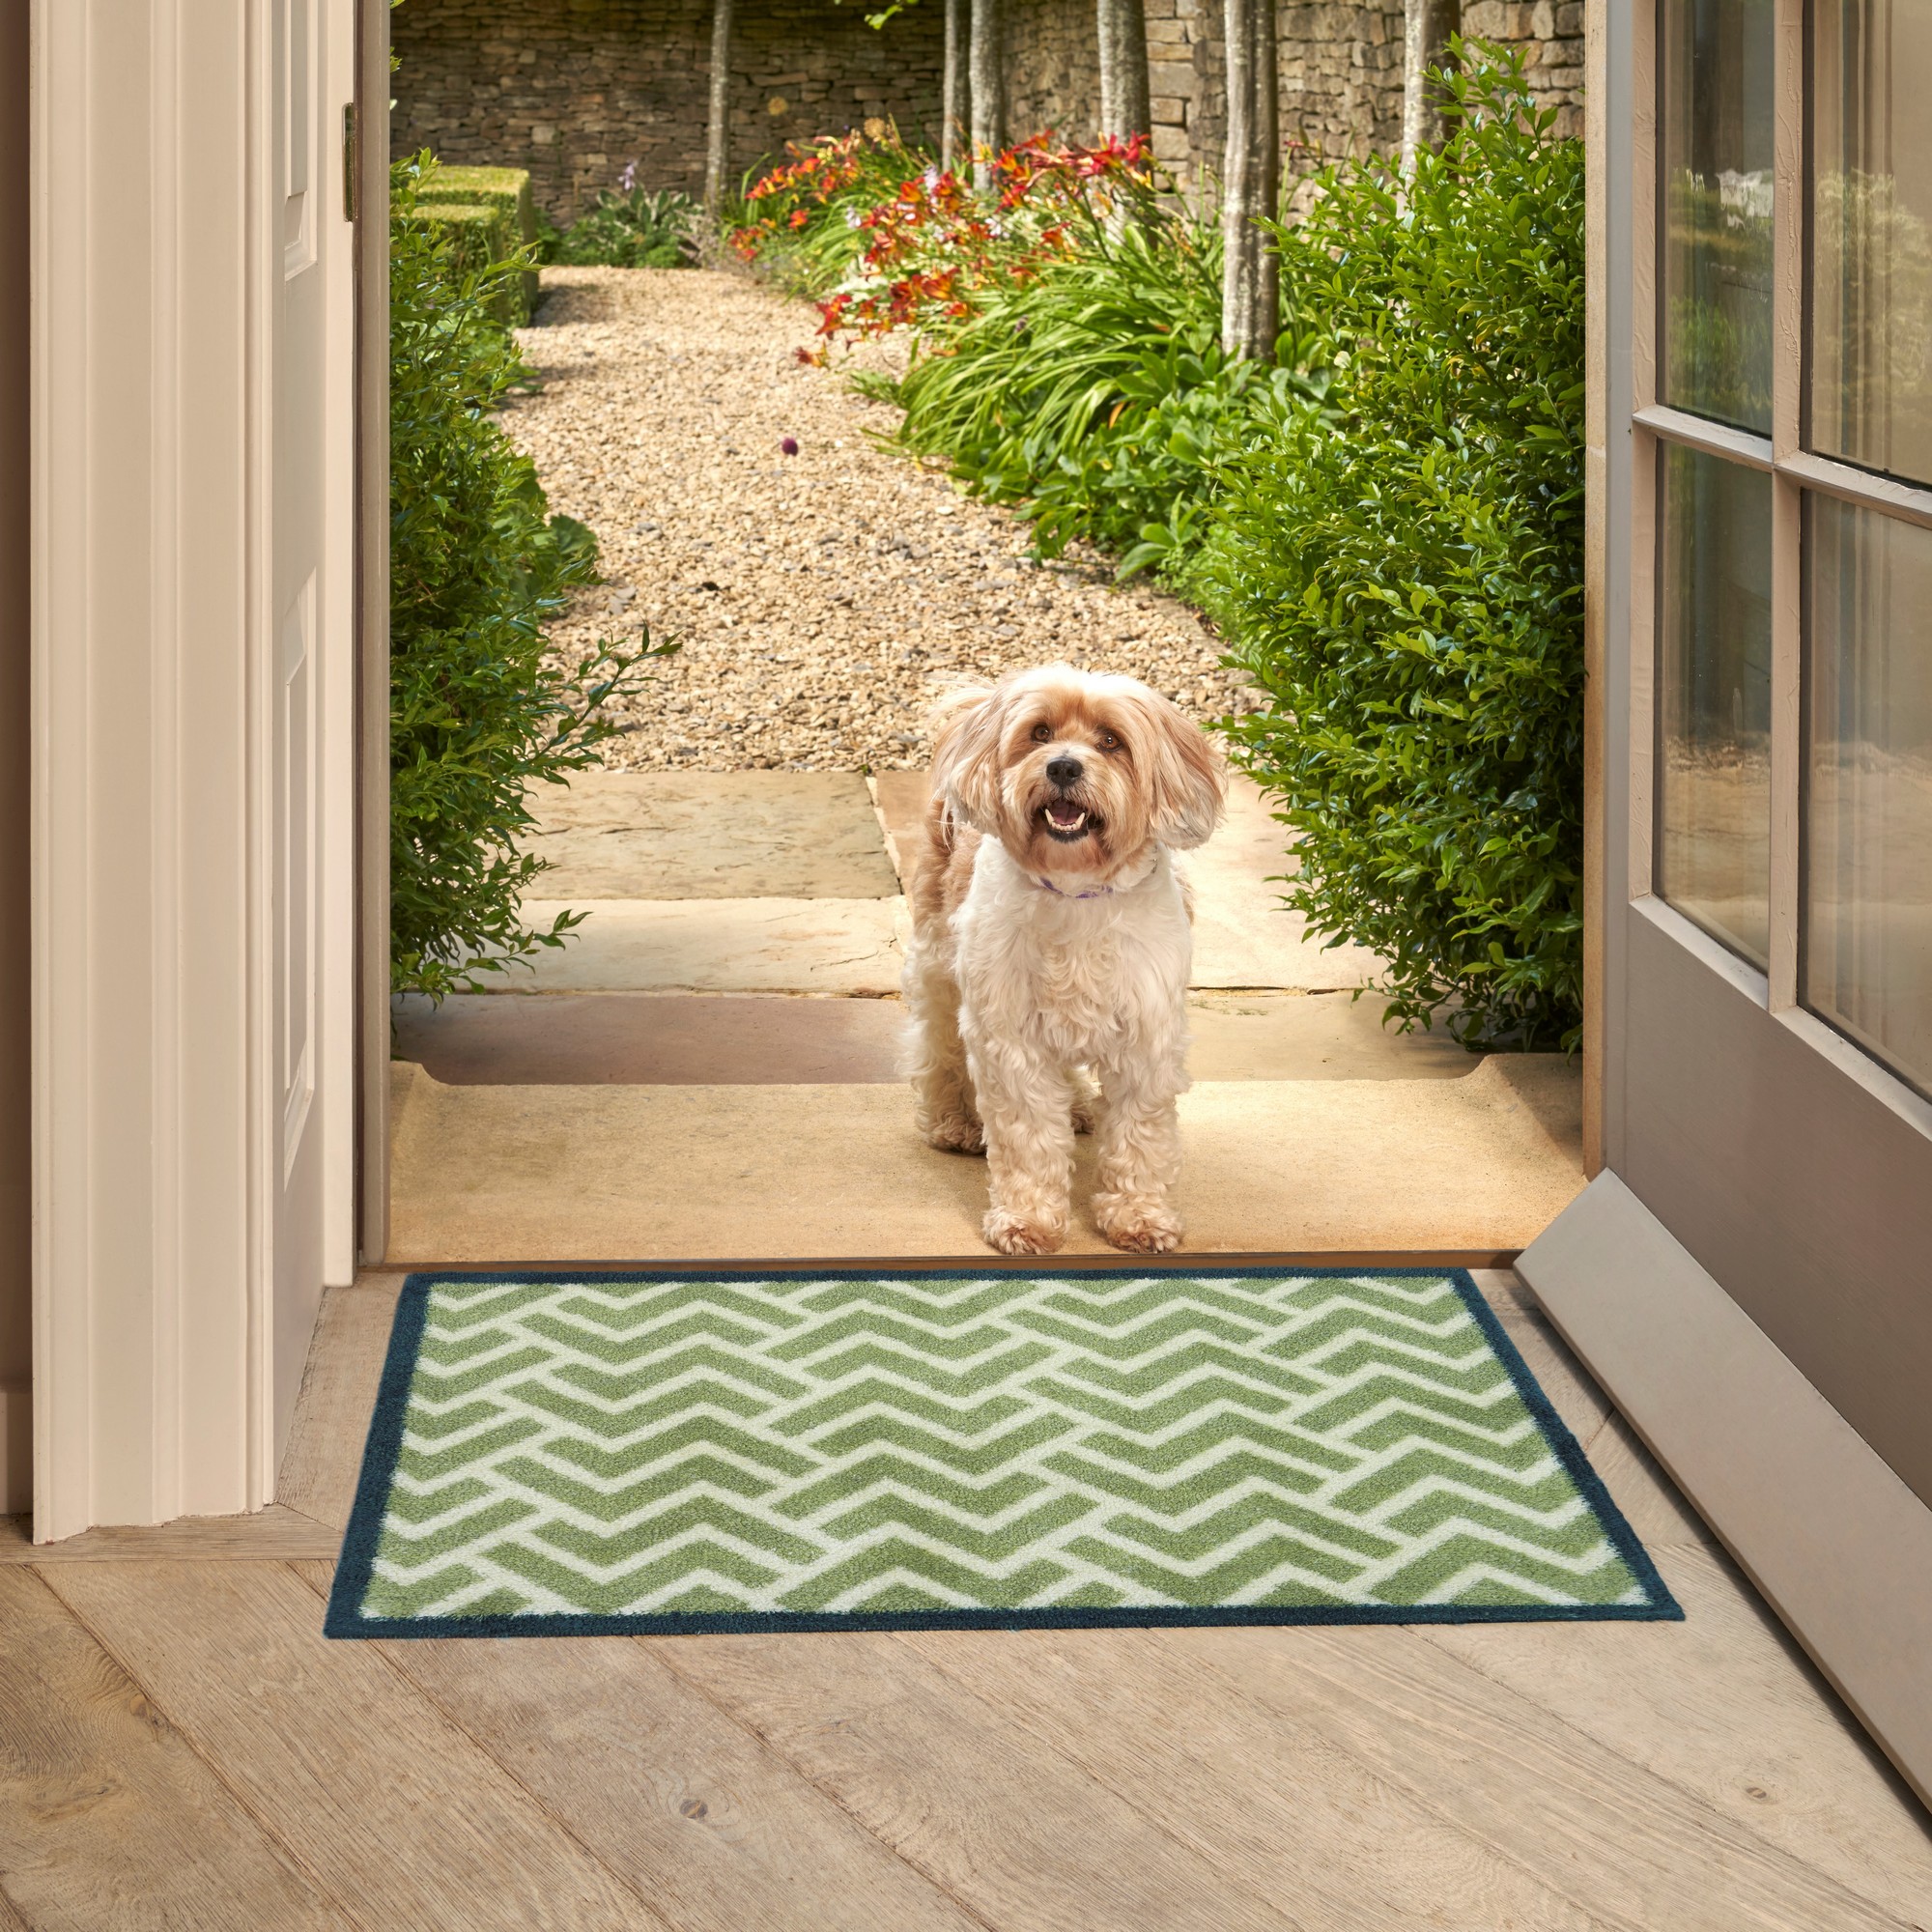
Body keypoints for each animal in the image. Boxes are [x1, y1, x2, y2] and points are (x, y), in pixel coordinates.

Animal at [900, 672, 1221, 1260]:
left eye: (1112, 740)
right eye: (1040, 733)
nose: (1064, 767)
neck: (1076, 891)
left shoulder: (1146, 1037)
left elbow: (1141, 1138)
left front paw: (1139, 1217)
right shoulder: (1009, 1036)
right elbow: (1027, 1139)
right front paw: (1027, 1220)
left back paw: (1074, 1107)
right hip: (938, 967)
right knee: (938, 1048)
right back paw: (954, 1122)